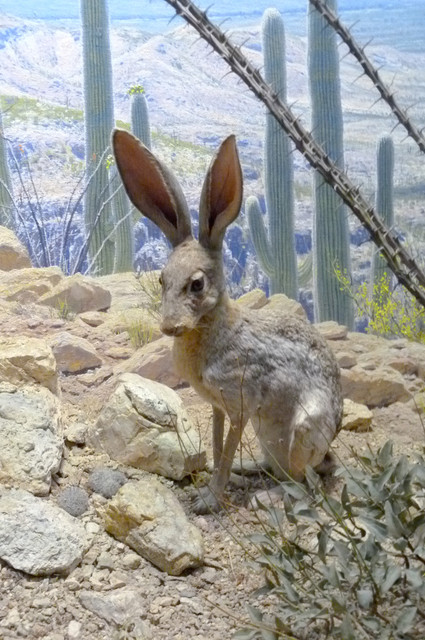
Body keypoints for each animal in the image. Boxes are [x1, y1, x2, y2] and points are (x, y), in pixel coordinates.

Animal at [112, 129, 343, 514]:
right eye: (162, 279)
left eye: (197, 284)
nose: (170, 327)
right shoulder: (217, 408)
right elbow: (219, 445)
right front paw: (213, 485)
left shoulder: (239, 405)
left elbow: (227, 447)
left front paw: (208, 500)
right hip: (268, 437)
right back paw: (246, 470)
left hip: (301, 433)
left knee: (303, 481)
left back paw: (266, 496)